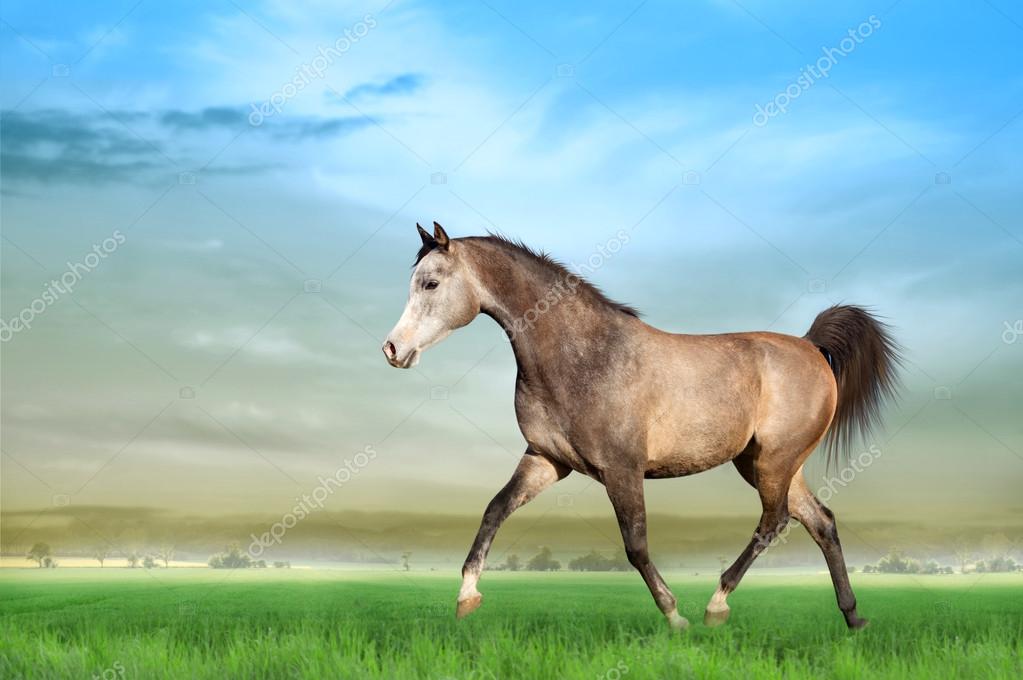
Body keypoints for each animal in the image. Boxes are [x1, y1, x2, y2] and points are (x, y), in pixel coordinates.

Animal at [382, 223, 900, 630]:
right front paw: (466, 598)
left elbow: (635, 545)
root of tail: (810, 345)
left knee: (774, 523)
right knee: (821, 521)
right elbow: (494, 510)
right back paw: (853, 617)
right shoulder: (546, 461)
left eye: (431, 284)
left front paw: (675, 616)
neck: (583, 355)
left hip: (774, 461)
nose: (392, 349)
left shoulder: (622, 469)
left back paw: (716, 606)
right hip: (764, 464)